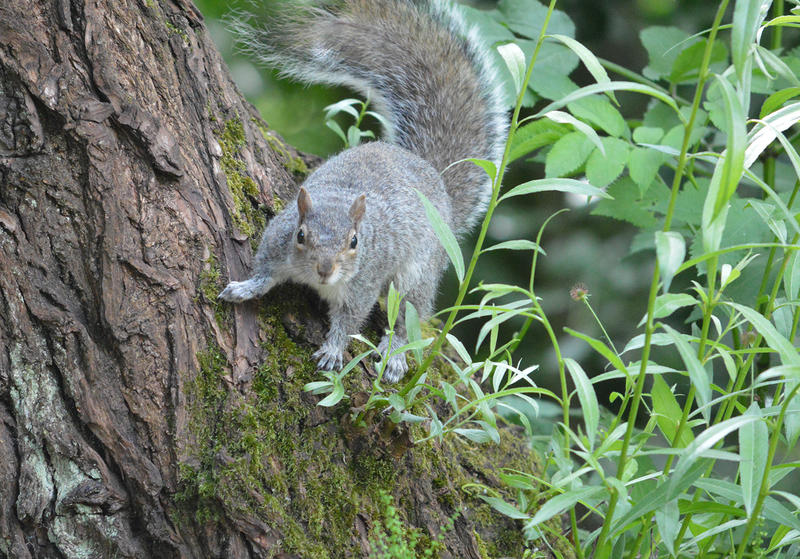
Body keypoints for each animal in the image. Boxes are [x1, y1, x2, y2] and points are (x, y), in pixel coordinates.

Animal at [219, 0, 506, 382]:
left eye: (354, 241)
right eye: (300, 235)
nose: (325, 269)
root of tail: (436, 181)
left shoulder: (363, 283)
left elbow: (350, 320)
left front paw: (333, 350)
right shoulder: (276, 242)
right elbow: (265, 272)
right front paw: (245, 288)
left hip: (418, 273)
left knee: (409, 315)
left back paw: (395, 355)